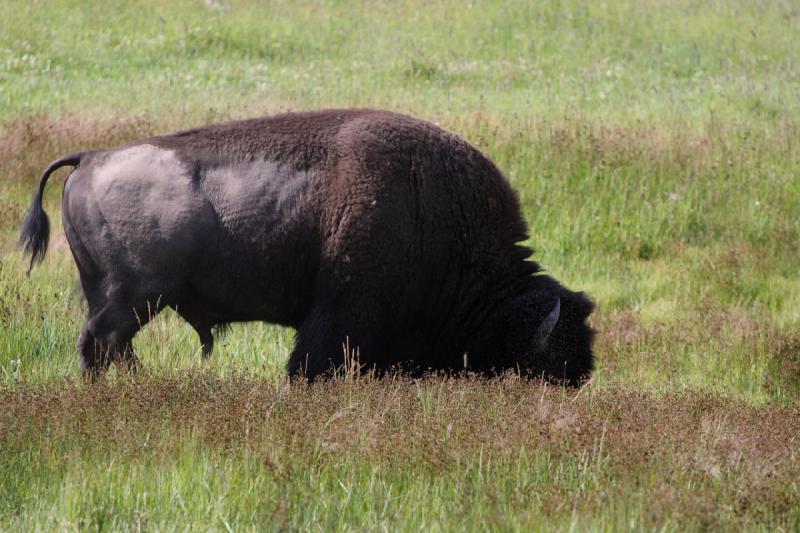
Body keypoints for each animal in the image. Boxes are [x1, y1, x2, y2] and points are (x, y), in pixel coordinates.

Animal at [18, 109, 592, 382]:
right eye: (549, 352)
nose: (581, 377)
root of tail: (91, 157)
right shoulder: (340, 314)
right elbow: (310, 365)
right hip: (133, 298)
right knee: (101, 345)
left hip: (119, 299)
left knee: (112, 348)